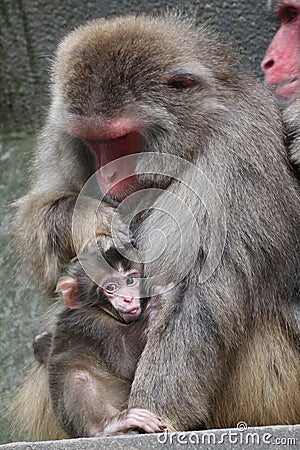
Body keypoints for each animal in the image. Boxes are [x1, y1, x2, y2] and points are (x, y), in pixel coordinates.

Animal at [35, 248, 166, 438]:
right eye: (111, 287)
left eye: (130, 280)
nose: (128, 299)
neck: (99, 309)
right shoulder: (95, 326)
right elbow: (125, 363)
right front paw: (158, 297)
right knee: (78, 376)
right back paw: (107, 426)